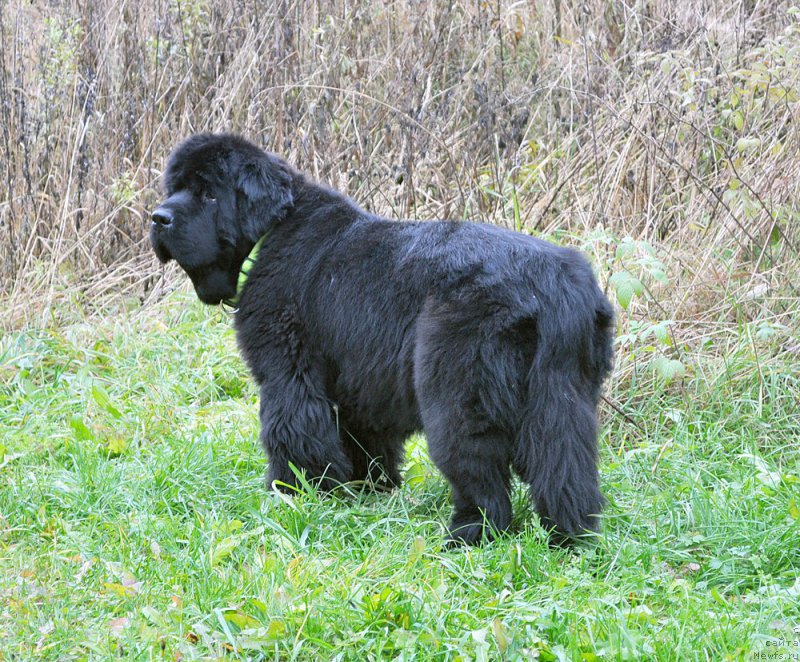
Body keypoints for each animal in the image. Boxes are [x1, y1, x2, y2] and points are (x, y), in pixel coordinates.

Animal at [148, 132, 612, 548]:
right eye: (174, 189)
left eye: (209, 195)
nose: (158, 217)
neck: (271, 231)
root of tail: (554, 286)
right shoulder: (360, 379)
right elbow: (364, 440)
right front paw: (368, 490)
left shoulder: (289, 372)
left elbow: (292, 429)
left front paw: (295, 494)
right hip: (561, 394)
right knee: (565, 466)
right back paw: (569, 538)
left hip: (458, 394)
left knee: (482, 477)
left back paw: (465, 537)